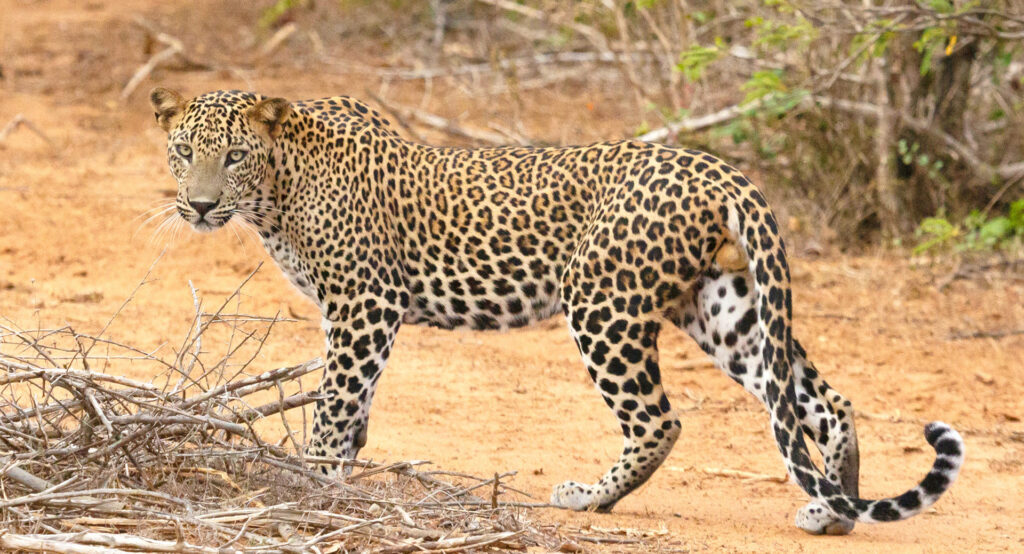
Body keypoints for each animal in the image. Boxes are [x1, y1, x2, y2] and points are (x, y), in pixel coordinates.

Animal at [150, 88, 964, 534]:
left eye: (234, 157)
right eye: (183, 151)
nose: (200, 205)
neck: (277, 190)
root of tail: (718, 168)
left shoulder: (364, 303)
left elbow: (335, 401)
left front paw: (313, 482)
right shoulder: (358, 313)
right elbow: (355, 406)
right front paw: (339, 476)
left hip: (601, 301)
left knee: (660, 420)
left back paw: (587, 499)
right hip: (723, 308)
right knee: (819, 401)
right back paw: (834, 508)